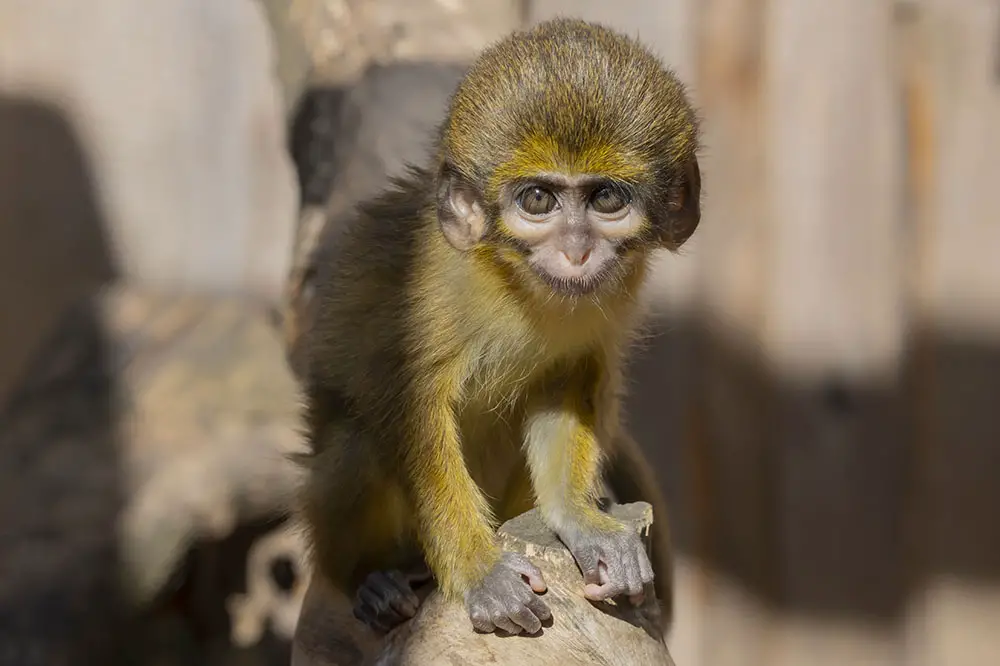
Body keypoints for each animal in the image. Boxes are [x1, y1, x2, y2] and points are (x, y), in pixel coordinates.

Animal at [300, 18, 700, 636]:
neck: (511, 285)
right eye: (538, 199)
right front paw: (479, 571)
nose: (577, 252)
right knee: (355, 443)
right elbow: (409, 410)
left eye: (606, 197)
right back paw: (371, 579)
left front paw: (579, 517)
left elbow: (565, 382)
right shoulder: (422, 292)